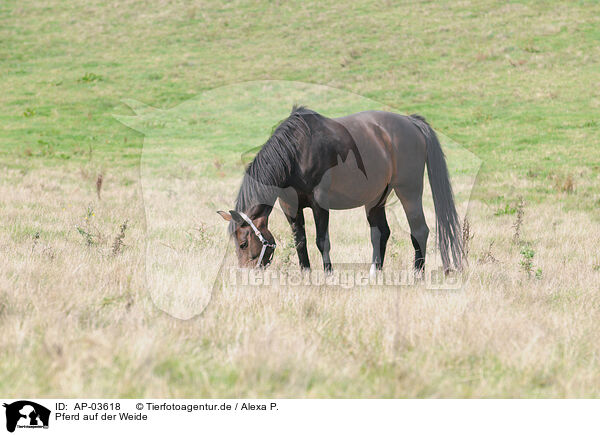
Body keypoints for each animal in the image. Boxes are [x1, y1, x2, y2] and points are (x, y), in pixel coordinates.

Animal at [218, 106, 462, 274]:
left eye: (243, 243)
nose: (246, 273)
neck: (296, 153)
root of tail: (412, 122)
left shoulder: (320, 204)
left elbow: (321, 241)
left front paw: (328, 275)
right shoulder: (290, 208)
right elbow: (300, 242)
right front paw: (305, 275)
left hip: (409, 191)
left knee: (419, 231)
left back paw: (417, 275)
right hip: (376, 199)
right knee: (381, 233)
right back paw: (375, 274)